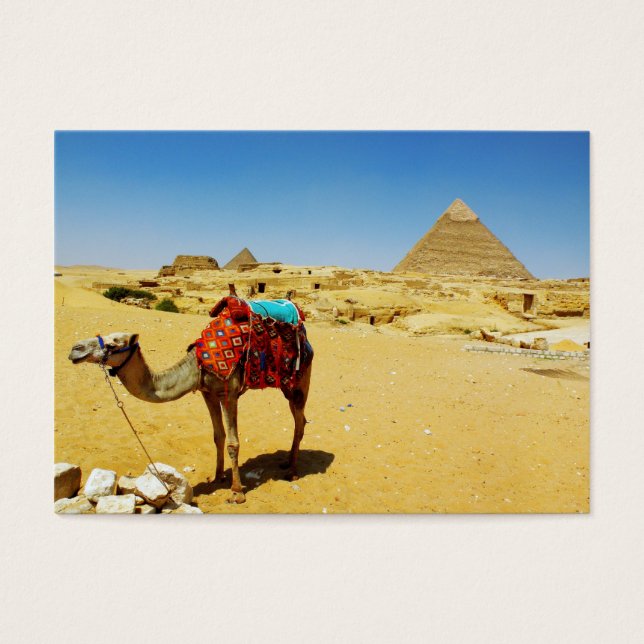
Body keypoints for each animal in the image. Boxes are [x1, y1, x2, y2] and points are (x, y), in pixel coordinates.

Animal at [68, 331, 313, 504]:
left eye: (113, 344)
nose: (75, 349)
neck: (195, 367)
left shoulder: (229, 393)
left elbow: (233, 442)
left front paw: (236, 493)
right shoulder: (208, 393)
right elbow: (218, 436)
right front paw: (217, 477)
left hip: (299, 382)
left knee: (300, 422)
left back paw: (292, 472)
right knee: (299, 421)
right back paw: (286, 462)